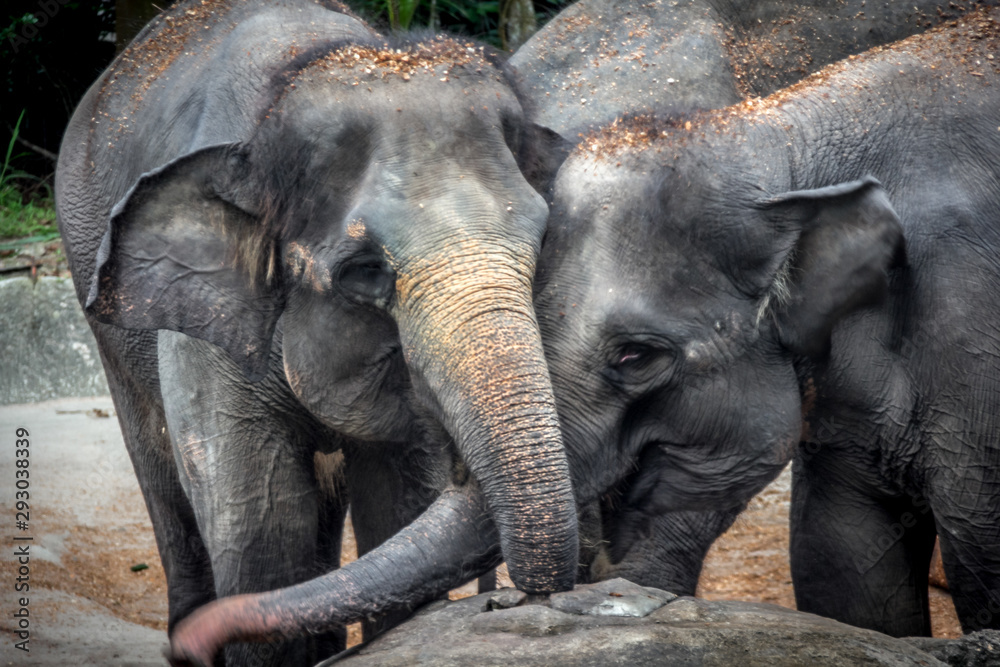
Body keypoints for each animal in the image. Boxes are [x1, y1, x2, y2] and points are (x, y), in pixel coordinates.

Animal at [55, 0, 581, 663]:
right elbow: (263, 536)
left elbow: (398, 506)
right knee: (163, 477)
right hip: (98, 304)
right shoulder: (210, 335)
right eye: (366, 270)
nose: (511, 599)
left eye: (542, 242)